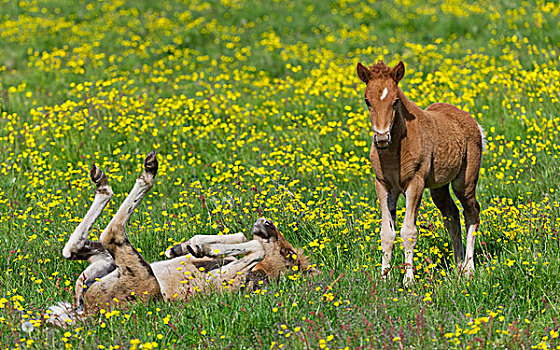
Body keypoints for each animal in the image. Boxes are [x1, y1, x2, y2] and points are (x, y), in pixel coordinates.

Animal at [358, 59, 486, 284]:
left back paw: (468, 269)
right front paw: (384, 278)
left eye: (395, 101)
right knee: (451, 215)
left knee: (472, 212)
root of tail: (473, 122)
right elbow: (386, 233)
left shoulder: (414, 183)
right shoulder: (383, 185)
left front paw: (408, 280)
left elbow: (408, 231)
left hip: (464, 183)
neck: (395, 151)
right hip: (439, 187)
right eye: (367, 101)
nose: (381, 138)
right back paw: (457, 265)